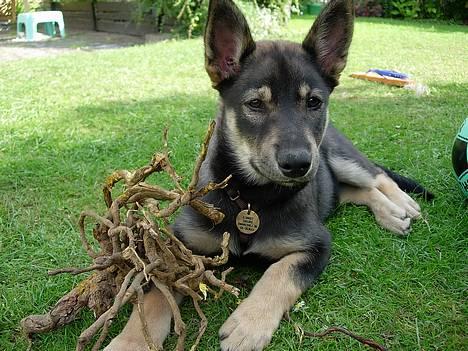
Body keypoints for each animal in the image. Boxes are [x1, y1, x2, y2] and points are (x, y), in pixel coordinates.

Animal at [106, 1, 432, 350]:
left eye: (313, 102)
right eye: (255, 104)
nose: (298, 164)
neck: (252, 197)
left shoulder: (315, 244)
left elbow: (279, 274)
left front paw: (248, 324)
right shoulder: (177, 249)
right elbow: (155, 294)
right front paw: (131, 341)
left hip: (338, 156)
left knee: (376, 176)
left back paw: (401, 206)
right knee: (354, 191)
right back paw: (392, 214)